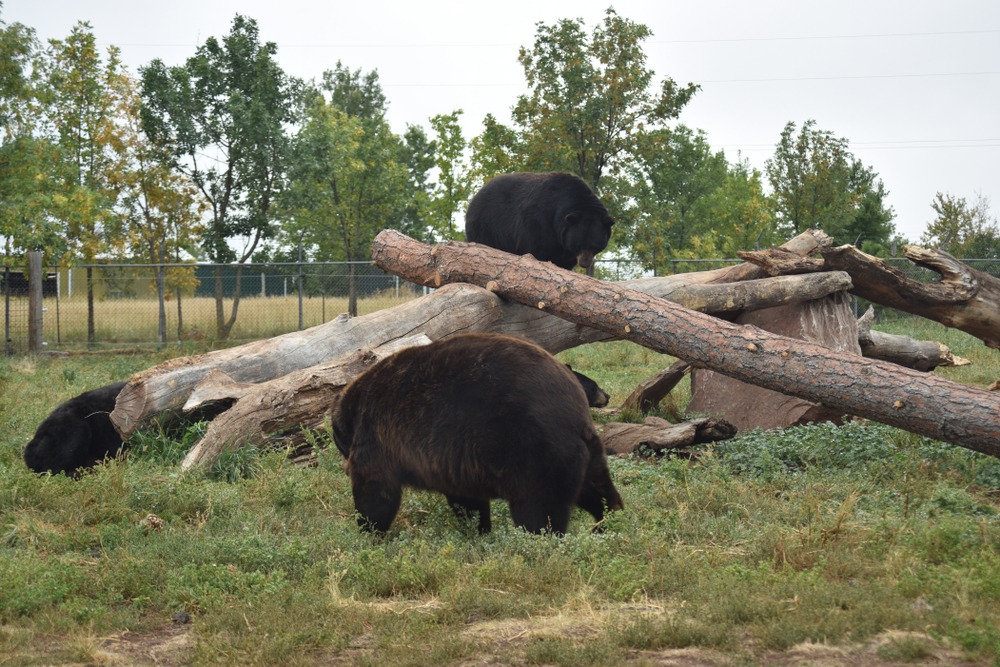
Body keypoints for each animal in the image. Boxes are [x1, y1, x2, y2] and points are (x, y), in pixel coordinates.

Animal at [331, 333, 623, 535]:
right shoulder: (454, 461)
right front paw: (477, 529)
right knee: (597, 488)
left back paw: (542, 539)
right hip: (586, 448)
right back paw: (608, 522)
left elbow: (376, 489)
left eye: (340, 443)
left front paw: (369, 529)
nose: (343, 467)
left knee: (539, 507)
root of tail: (573, 409)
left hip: (534, 450)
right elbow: (467, 499)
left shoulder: (378, 434)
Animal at [464, 171, 614, 271]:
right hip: (488, 225)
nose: (584, 263)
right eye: (578, 245)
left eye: (595, 246)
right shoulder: (539, 220)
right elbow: (535, 249)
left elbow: (565, 262)